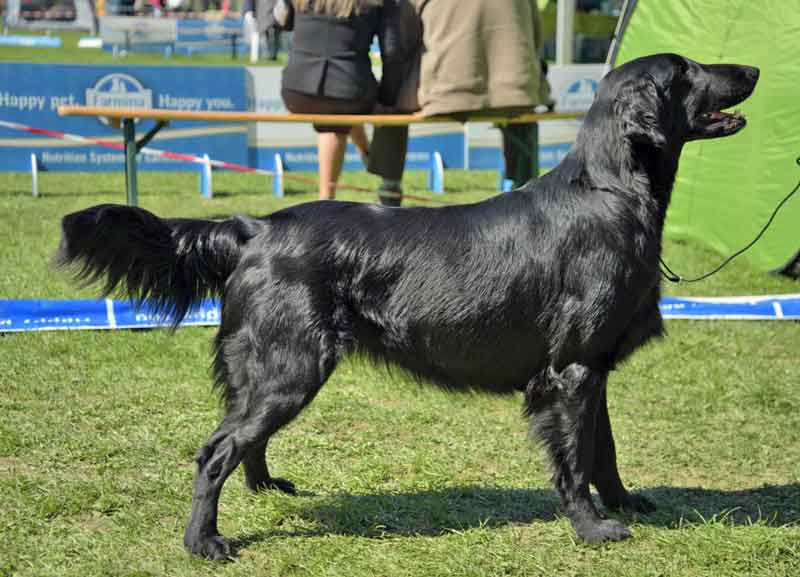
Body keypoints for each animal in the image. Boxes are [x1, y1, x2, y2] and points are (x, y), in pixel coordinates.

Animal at [56, 55, 756, 560]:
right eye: (686, 70)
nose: (751, 71)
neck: (610, 191)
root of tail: (255, 228)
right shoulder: (572, 370)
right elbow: (576, 459)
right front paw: (592, 528)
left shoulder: (594, 366)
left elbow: (603, 451)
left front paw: (625, 503)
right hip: (292, 365)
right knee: (214, 452)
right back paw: (203, 541)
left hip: (273, 369)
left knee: (240, 438)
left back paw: (266, 488)